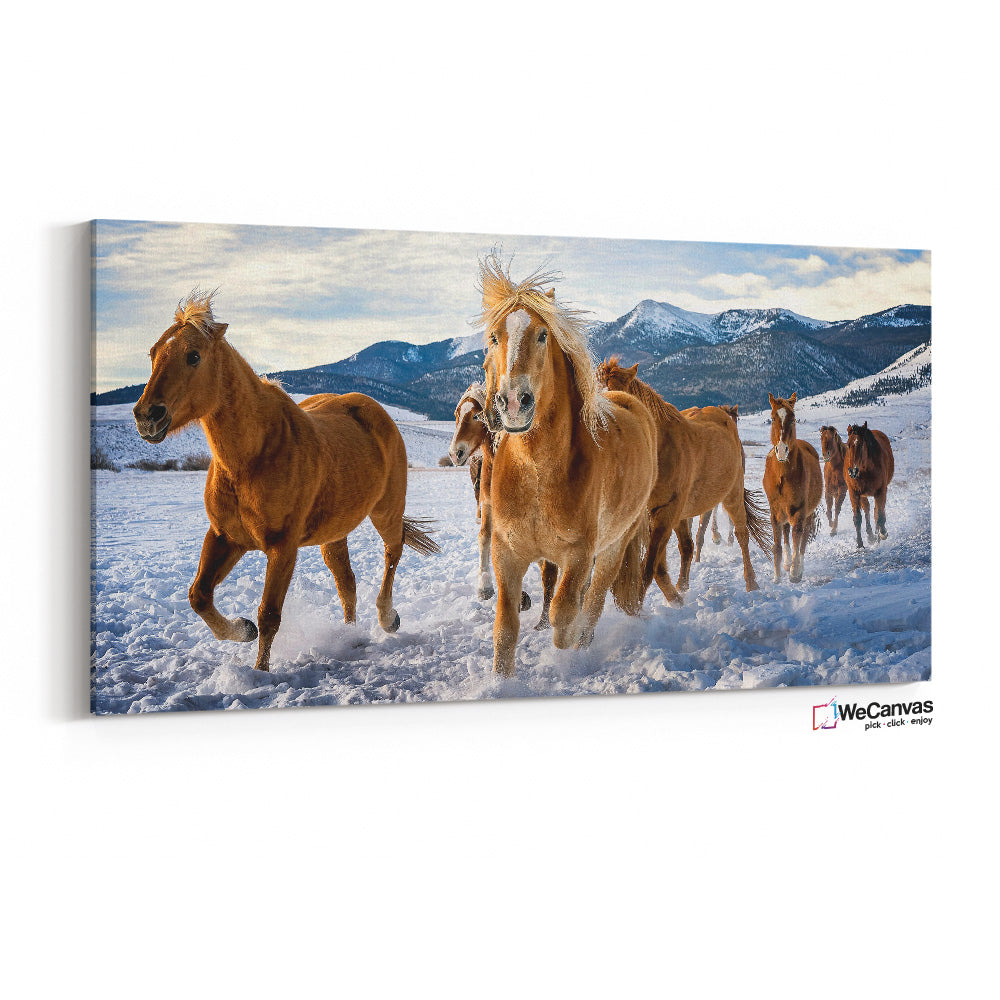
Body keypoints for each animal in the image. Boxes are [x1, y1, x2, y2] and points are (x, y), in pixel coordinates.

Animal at [132, 291, 439, 672]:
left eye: (193, 356)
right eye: (153, 353)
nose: (147, 416)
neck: (251, 458)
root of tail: (372, 408)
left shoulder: (282, 547)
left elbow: (269, 614)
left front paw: (259, 672)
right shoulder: (225, 537)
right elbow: (199, 596)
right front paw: (242, 630)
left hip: (386, 511)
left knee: (392, 552)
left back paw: (387, 618)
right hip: (334, 533)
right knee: (347, 584)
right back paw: (349, 637)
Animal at [448, 381, 553, 622]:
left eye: (476, 416)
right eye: (457, 414)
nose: (455, 453)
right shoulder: (488, 505)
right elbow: (485, 538)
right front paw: (485, 586)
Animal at [477, 256, 657, 677]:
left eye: (542, 335)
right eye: (494, 337)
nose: (513, 402)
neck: (537, 474)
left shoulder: (577, 556)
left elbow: (563, 616)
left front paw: (562, 662)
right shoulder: (506, 553)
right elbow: (505, 627)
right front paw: (500, 681)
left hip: (613, 546)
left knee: (594, 600)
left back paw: (585, 645)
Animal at [596, 360, 770, 603]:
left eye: (618, 398)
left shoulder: (665, 514)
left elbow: (649, 568)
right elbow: (657, 566)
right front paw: (674, 597)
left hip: (731, 495)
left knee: (742, 535)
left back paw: (751, 583)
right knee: (687, 546)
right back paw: (683, 585)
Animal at [762, 392, 822, 583]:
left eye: (793, 419)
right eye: (773, 418)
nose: (782, 450)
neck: (782, 475)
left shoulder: (799, 509)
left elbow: (798, 536)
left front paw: (795, 572)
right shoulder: (774, 510)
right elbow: (778, 544)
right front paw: (777, 576)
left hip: (807, 512)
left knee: (802, 536)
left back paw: (797, 566)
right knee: (787, 531)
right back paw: (787, 564)